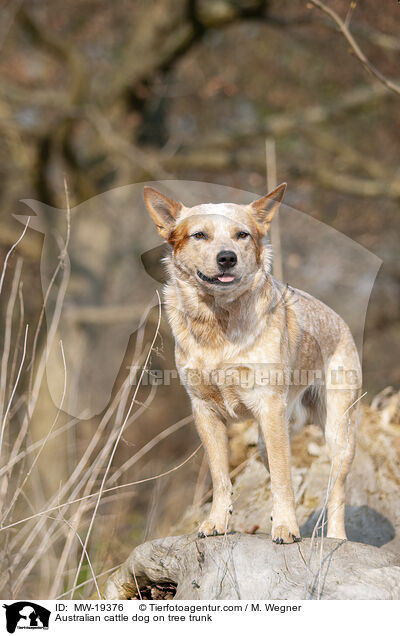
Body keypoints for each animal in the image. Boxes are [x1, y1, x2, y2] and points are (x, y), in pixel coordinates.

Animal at [143, 183, 360, 540]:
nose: (227, 257)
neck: (218, 323)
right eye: (199, 235)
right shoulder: (204, 412)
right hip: (264, 439)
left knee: (336, 491)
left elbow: (285, 479)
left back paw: (336, 538)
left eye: (242, 234)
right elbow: (221, 478)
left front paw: (286, 528)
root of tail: (339, 320)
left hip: (337, 433)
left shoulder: (270, 407)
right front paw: (216, 523)